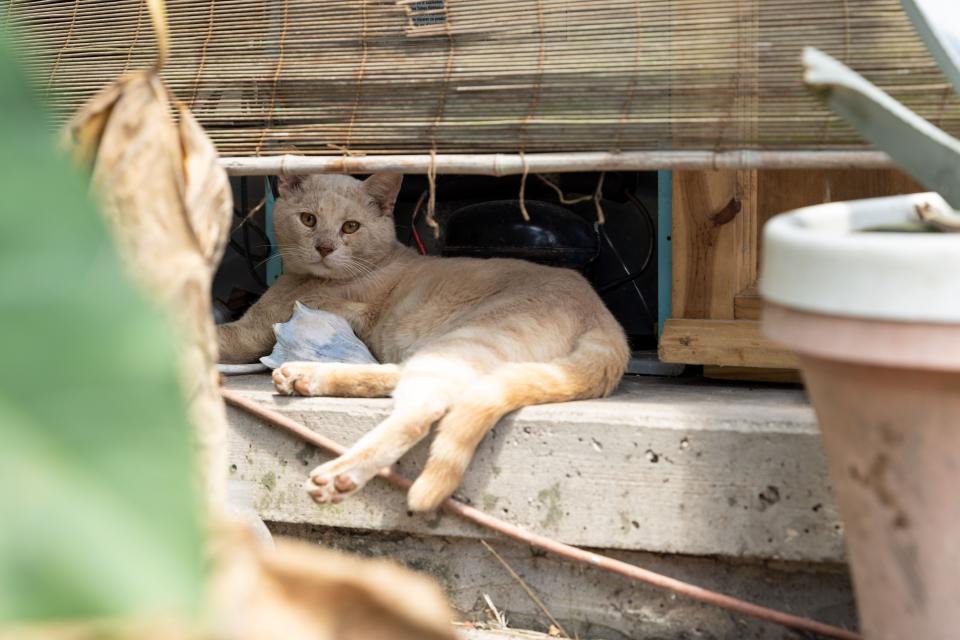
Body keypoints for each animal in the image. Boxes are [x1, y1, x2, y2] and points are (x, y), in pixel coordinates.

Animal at [221, 172, 632, 512]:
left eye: (350, 227)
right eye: (308, 219)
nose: (324, 248)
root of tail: (605, 319)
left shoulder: (252, 331)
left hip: (468, 340)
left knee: (424, 406)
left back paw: (340, 474)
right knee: (398, 377)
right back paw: (304, 377)